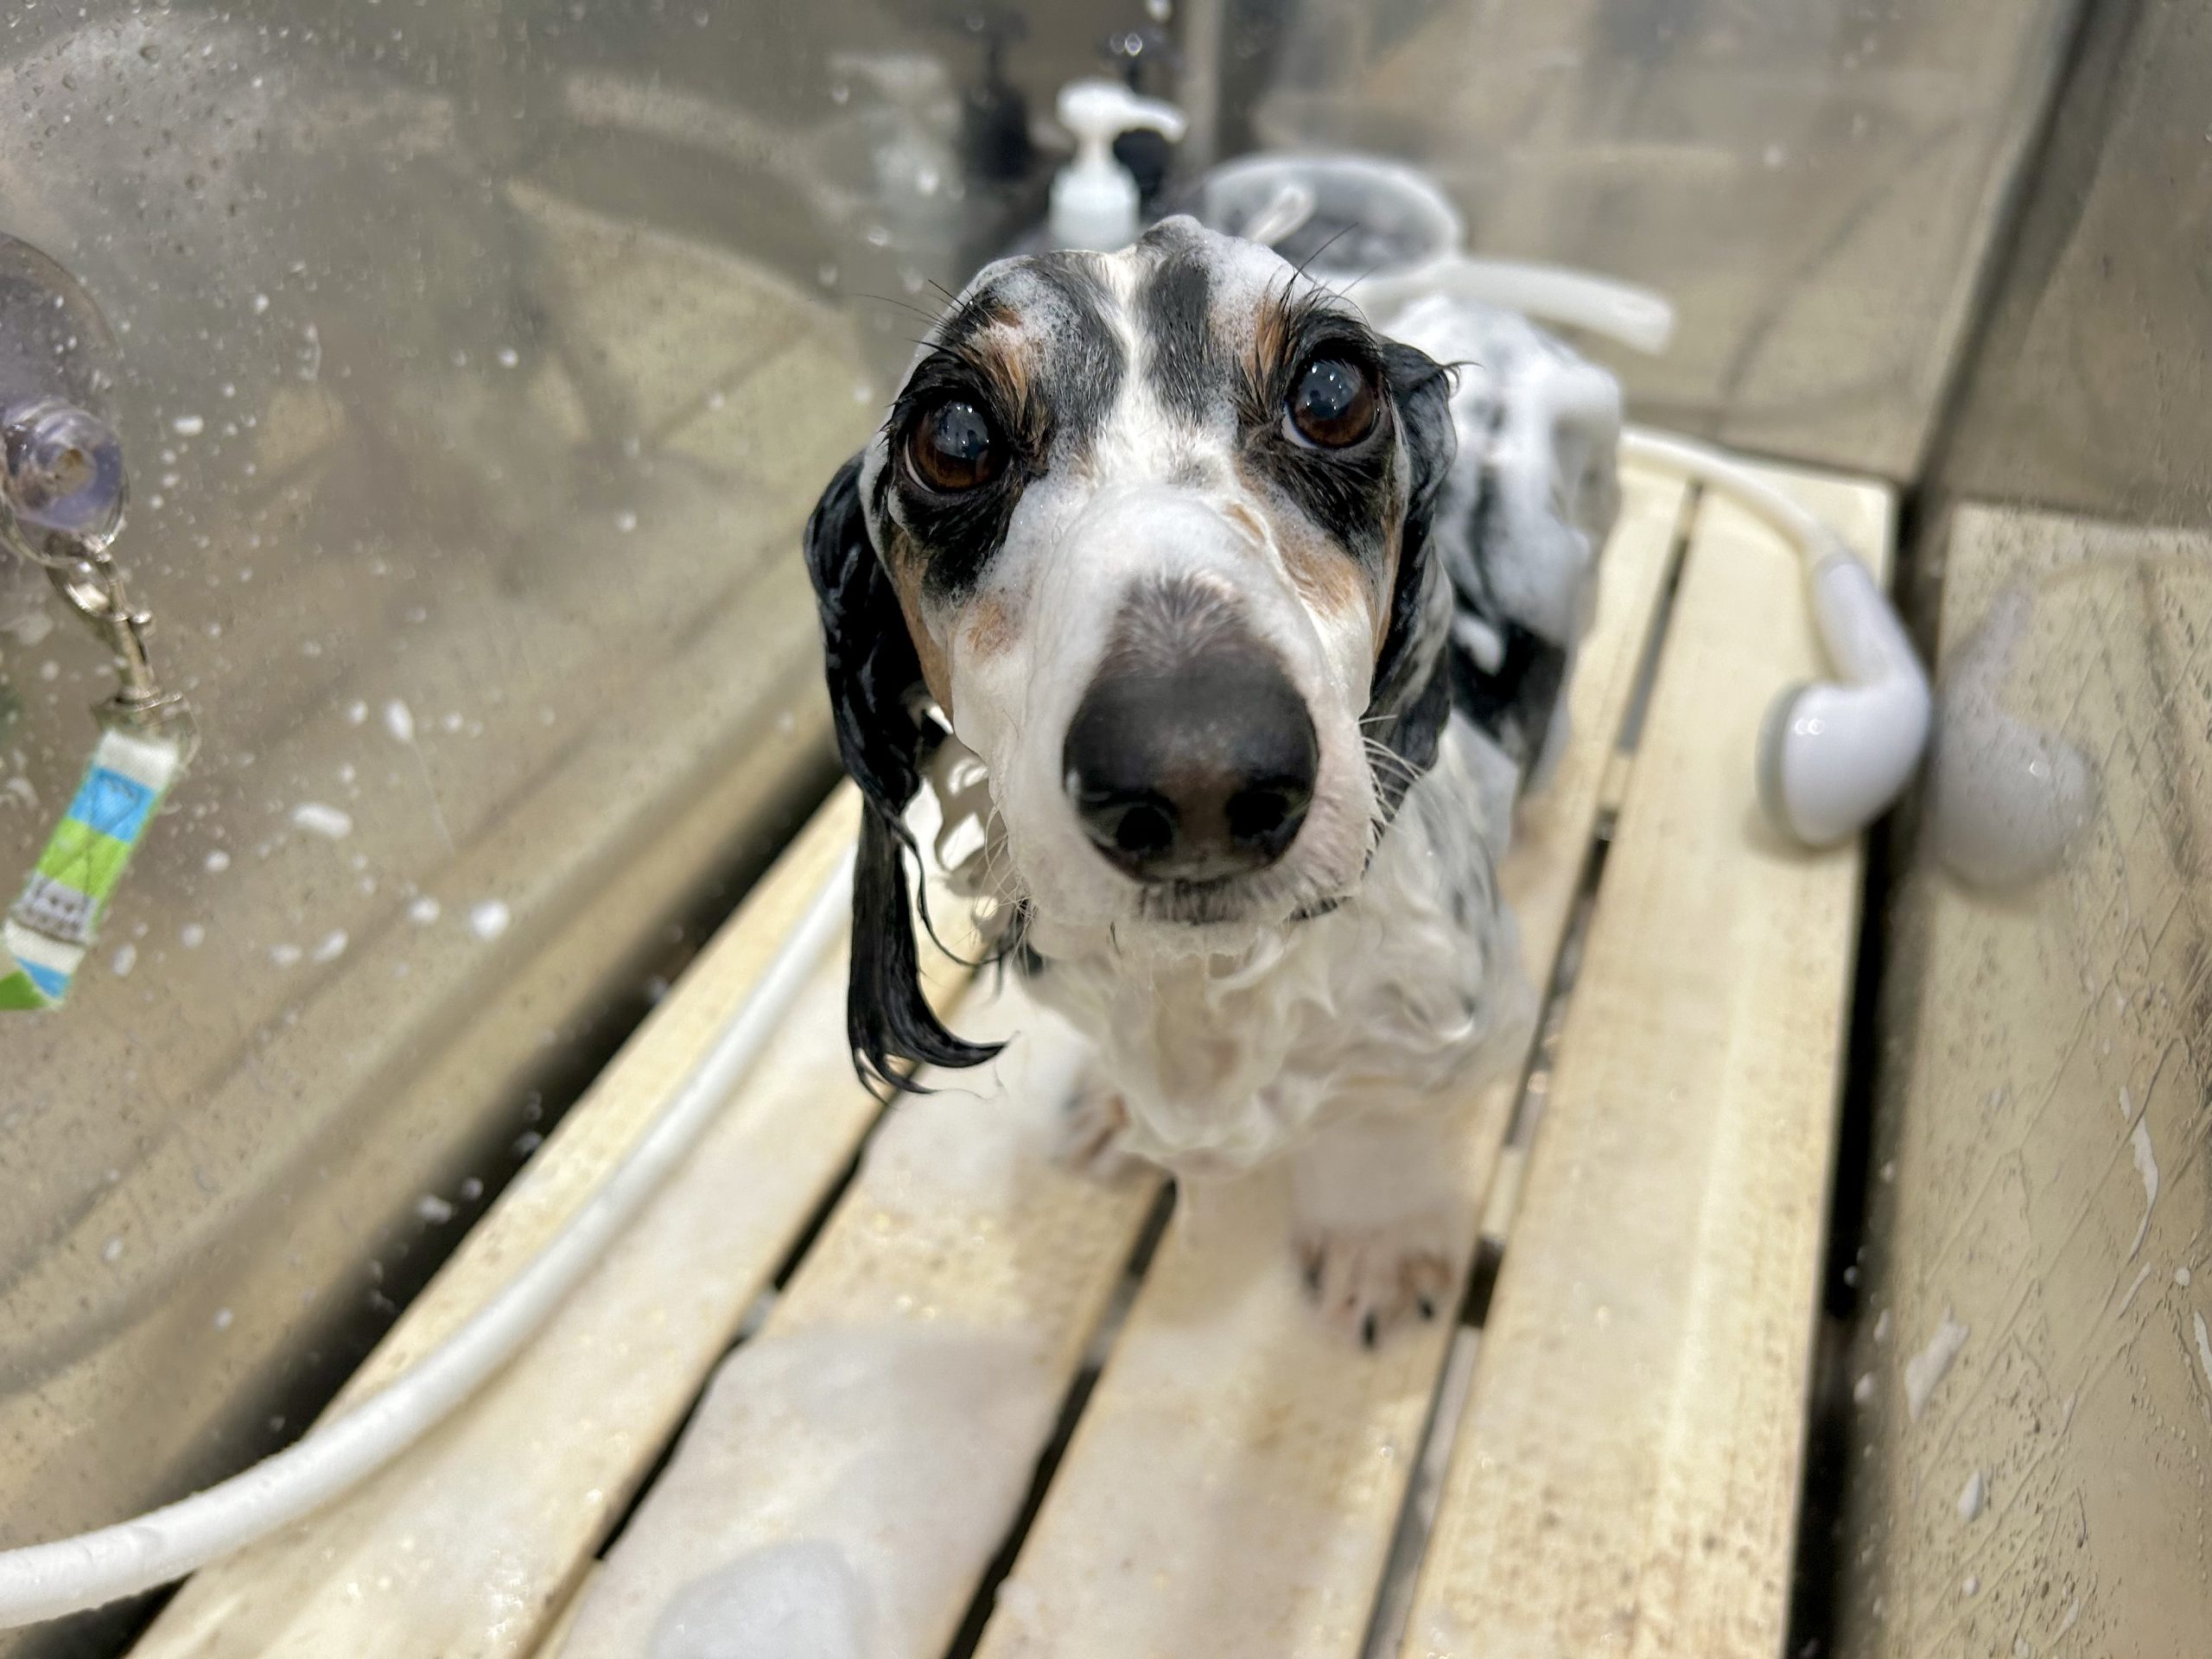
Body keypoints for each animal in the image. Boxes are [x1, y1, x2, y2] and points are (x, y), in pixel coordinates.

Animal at [804, 216, 1620, 1341]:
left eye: (1332, 391)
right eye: (954, 440)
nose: (1197, 775)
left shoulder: (1445, 1015)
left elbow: (1379, 1116)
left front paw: (1380, 1239)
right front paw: (1112, 1109)